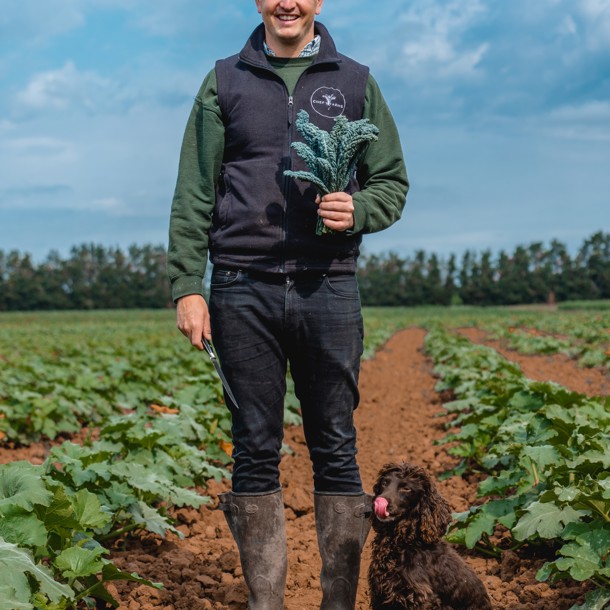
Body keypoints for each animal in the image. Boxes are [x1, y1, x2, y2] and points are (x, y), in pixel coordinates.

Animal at [368, 462, 493, 609]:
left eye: (406, 488)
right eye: (384, 483)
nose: (379, 501)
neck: (404, 542)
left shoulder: (420, 598)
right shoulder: (380, 593)